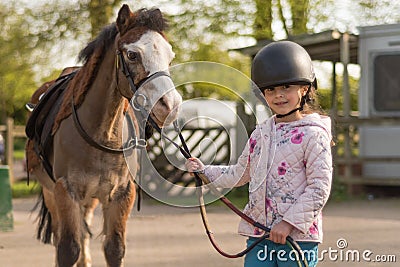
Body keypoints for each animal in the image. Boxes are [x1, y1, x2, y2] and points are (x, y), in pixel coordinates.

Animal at [25, 4, 181, 267]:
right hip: (51, 193)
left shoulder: (121, 194)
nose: (169, 106)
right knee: (60, 235)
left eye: (170, 57)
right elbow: (67, 248)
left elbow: (114, 249)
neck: (102, 134)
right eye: (132, 55)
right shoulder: (65, 191)